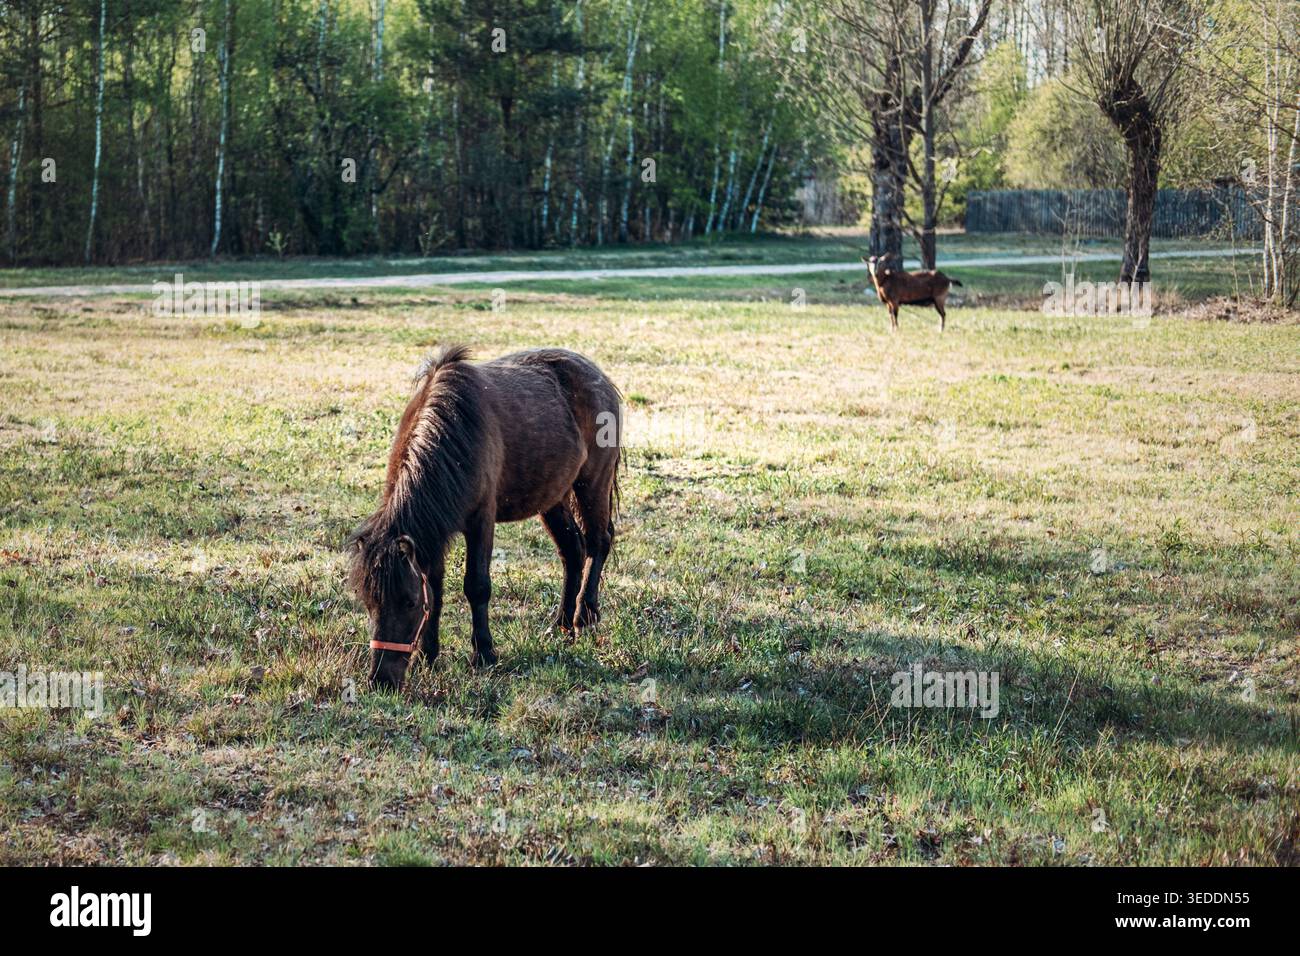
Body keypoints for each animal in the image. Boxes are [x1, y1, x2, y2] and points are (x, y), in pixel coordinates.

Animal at [347, 345, 621, 690]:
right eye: (368, 602)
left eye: (408, 601)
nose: (381, 679)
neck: (451, 432)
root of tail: (597, 374)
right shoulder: (435, 535)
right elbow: (436, 589)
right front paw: (428, 655)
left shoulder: (480, 521)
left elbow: (476, 586)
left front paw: (484, 653)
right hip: (554, 498)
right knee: (573, 552)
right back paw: (561, 625)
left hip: (592, 483)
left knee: (599, 543)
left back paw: (584, 616)